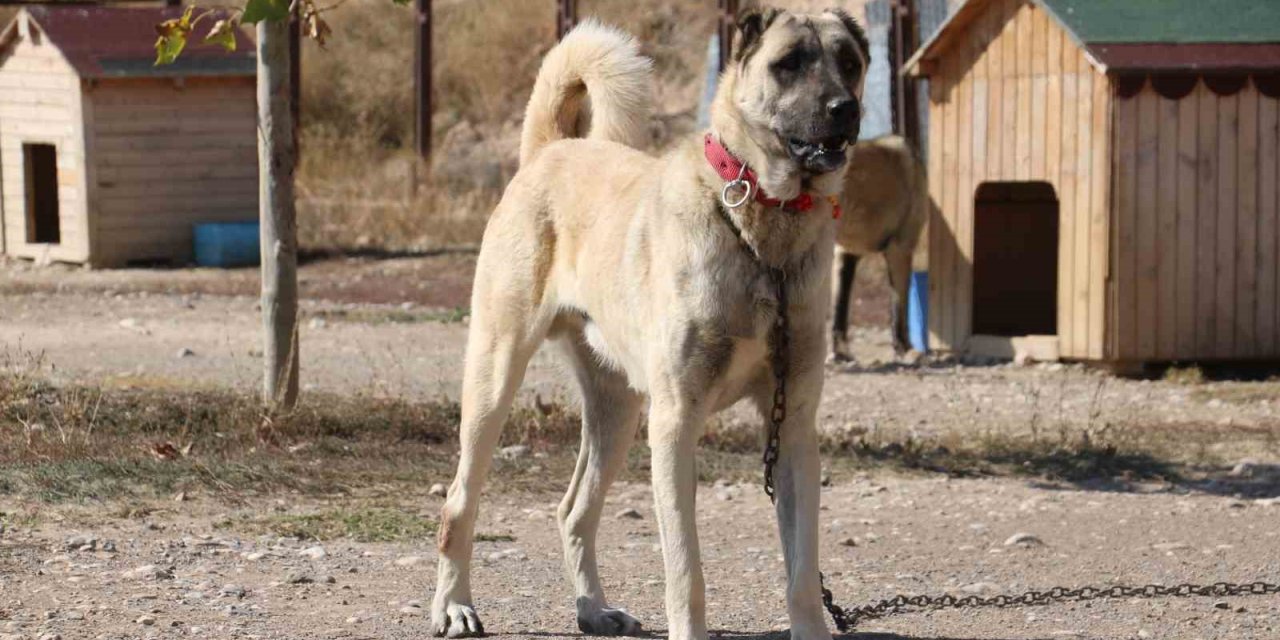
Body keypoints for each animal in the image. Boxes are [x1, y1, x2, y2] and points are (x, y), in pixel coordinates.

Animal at [432, 6, 870, 640]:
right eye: (788, 63)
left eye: (850, 62)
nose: (845, 108)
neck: (761, 227)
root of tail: (552, 149)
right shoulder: (675, 423)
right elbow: (687, 571)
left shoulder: (792, 429)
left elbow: (802, 575)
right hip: (495, 381)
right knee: (458, 505)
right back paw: (454, 605)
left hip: (617, 410)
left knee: (574, 511)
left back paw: (592, 608)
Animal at [829, 136, 931, 360]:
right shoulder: (900, 248)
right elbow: (900, 303)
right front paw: (904, 348)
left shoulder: (846, 253)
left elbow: (839, 308)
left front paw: (840, 353)